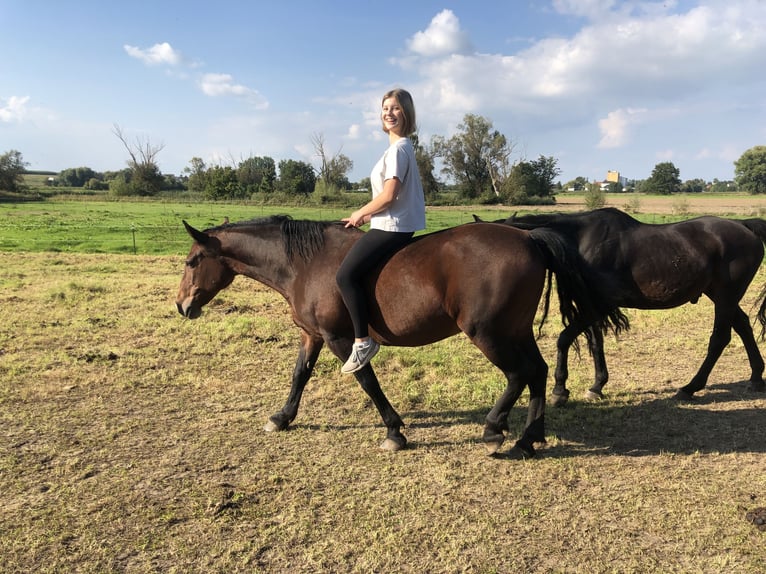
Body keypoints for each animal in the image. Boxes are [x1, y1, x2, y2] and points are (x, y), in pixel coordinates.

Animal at [176, 216, 616, 460]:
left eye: (192, 261)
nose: (182, 305)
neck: (305, 264)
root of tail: (528, 238)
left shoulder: (341, 339)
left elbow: (367, 381)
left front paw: (394, 432)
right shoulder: (313, 336)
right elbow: (299, 376)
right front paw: (281, 418)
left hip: (489, 333)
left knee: (518, 374)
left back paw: (494, 431)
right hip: (514, 330)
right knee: (537, 372)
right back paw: (528, 440)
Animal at [492, 210, 766, 404]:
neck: (580, 242)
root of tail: (744, 226)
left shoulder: (603, 305)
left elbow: (564, 338)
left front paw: (560, 389)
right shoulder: (593, 305)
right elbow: (596, 343)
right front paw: (597, 385)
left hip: (725, 296)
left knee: (720, 338)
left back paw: (690, 388)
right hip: (721, 296)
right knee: (743, 326)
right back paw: (755, 377)